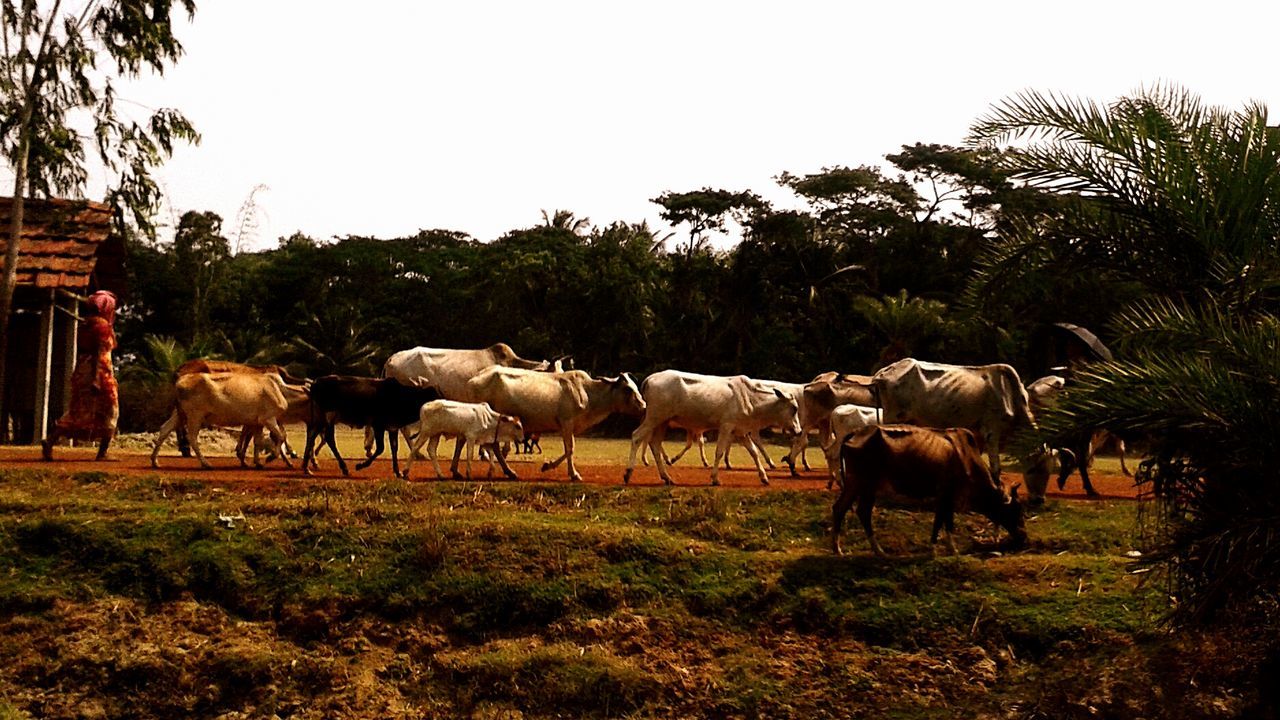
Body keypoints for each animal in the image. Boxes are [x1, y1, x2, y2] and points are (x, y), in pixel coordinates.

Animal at [302, 376, 442, 476]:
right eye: (433, 395)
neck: (401, 397)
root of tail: (316, 383)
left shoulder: (393, 428)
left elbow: (394, 448)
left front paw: (397, 471)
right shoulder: (378, 425)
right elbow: (380, 448)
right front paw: (360, 465)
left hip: (322, 418)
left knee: (311, 436)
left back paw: (305, 467)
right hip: (329, 417)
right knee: (329, 439)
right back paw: (344, 468)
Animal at [465, 363, 645, 481]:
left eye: (635, 386)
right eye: (627, 389)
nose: (643, 406)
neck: (587, 392)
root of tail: (473, 379)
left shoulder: (567, 426)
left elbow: (568, 449)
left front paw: (548, 465)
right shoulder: (567, 422)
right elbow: (570, 448)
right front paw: (573, 474)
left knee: (495, 446)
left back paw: (509, 472)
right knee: (494, 446)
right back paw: (508, 472)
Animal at [622, 368, 798, 481]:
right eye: (794, 409)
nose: (798, 430)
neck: (750, 398)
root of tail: (650, 379)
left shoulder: (740, 431)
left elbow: (754, 452)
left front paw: (764, 477)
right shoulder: (726, 427)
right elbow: (719, 452)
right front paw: (714, 478)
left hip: (662, 422)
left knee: (655, 444)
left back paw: (667, 477)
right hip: (654, 417)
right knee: (637, 436)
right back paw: (629, 473)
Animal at [829, 425, 1029, 556]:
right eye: (1016, 509)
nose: (1024, 536)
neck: (967, 458)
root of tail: (855, 433)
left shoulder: (947, 496)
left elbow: (945, 520)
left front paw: (947, 548)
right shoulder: (946, 494)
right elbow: (941, 520)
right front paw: (938, 549)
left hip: (858, 485)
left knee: (843, 509)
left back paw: (845, 549)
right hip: (864, 484)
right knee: (857, 511)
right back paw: (868, 549)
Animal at [870, 358, 1039, 481]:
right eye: (1033, 470)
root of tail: (882, 373)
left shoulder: (978, 434)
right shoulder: (992, 431)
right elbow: (995, 469)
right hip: (893, 417)